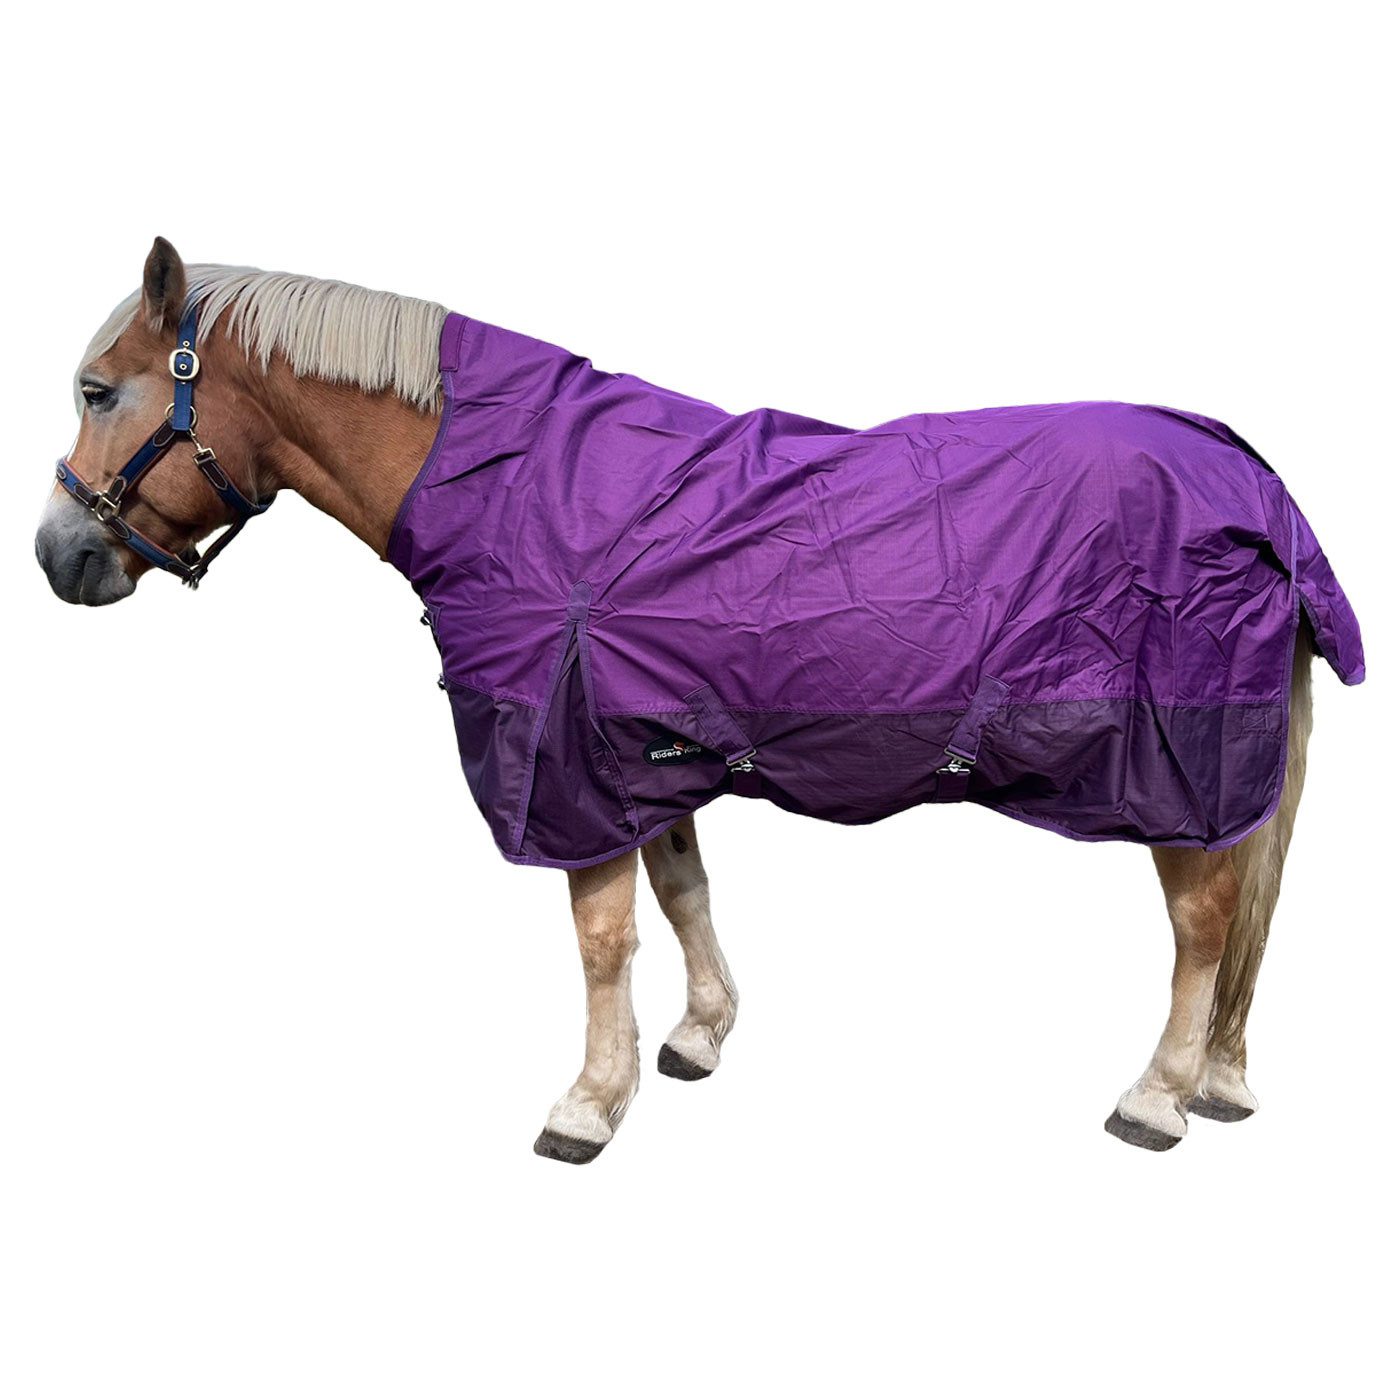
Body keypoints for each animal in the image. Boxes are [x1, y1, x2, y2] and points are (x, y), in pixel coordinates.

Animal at [36, 237, 1363, 1163]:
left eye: (99, 390)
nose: (59, 556)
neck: (522, 490)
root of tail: (1253, 482)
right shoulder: (640, 749)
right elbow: (680, 891)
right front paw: (696, 1035)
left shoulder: (564, 765)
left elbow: (601, 936)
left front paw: (586, 1101)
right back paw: (1219, 1078)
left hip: (1181, 768)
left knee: (1202, 925)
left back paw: (1156, 1095)